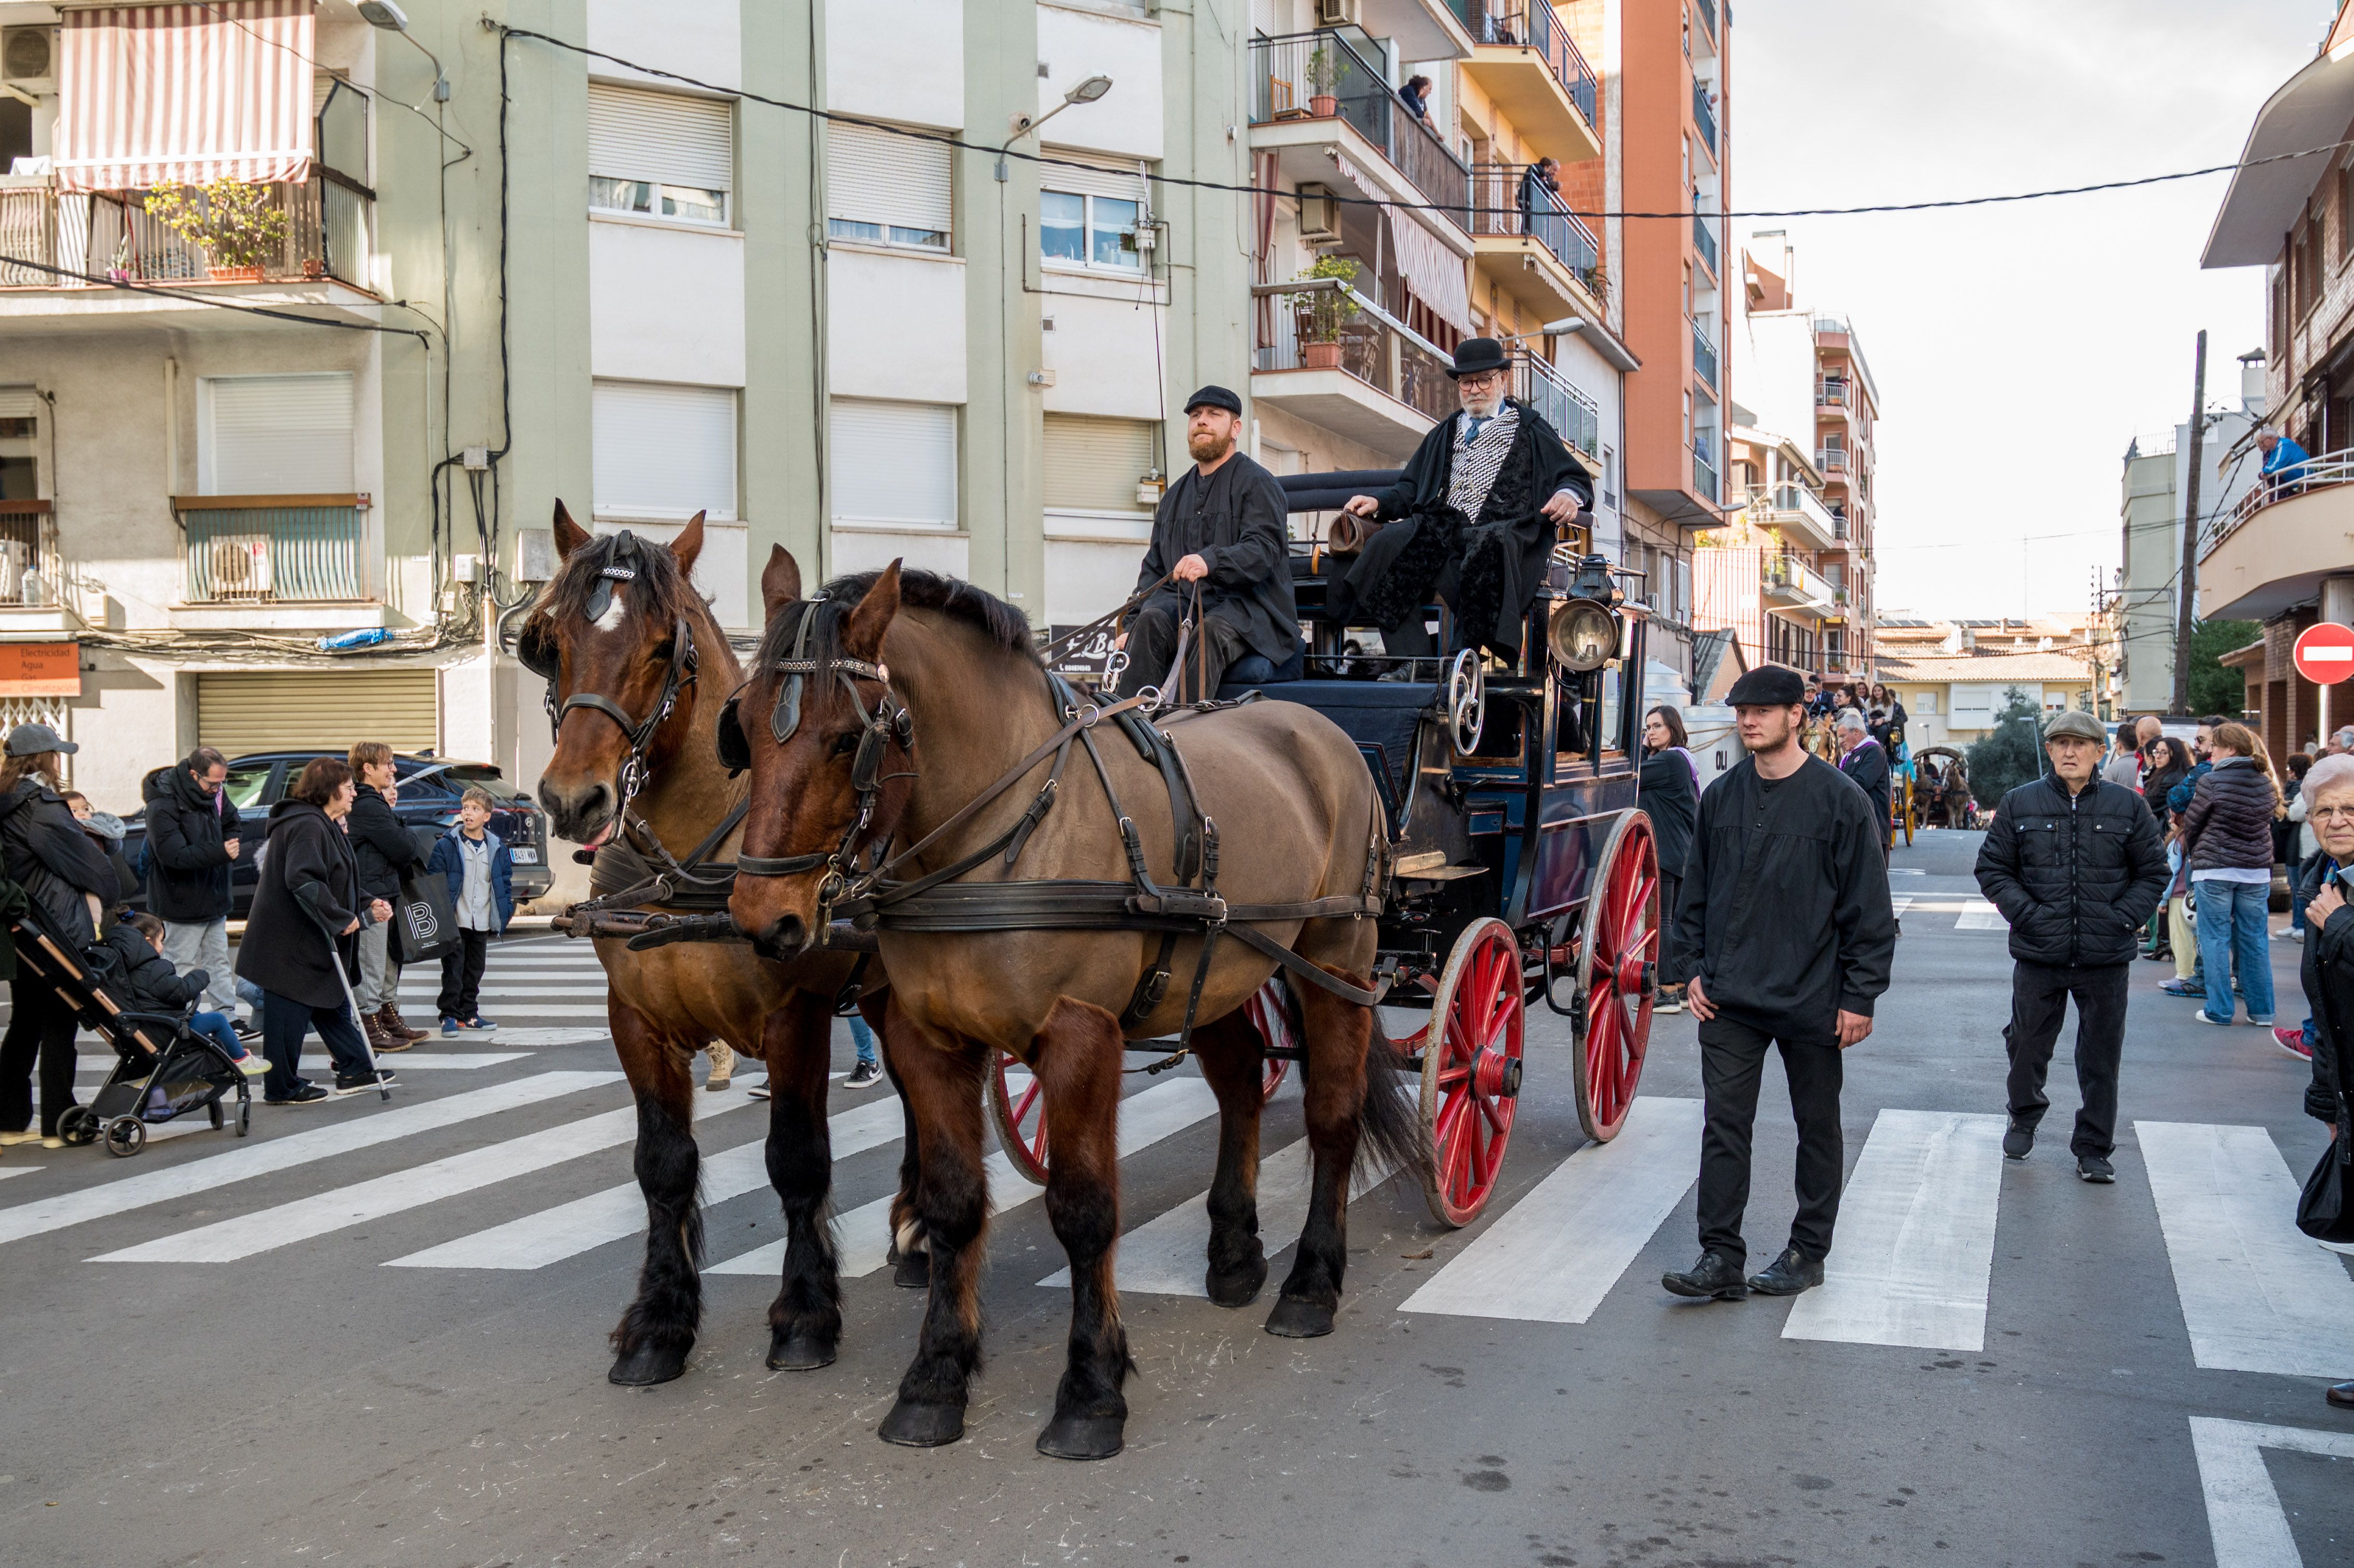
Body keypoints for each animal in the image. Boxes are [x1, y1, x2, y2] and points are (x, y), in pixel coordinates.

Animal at [525, 501, 908, 1384]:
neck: (694, 860)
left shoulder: (797, 1016)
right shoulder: (635, 1020)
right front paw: (659, 1323)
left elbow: (797, 1159)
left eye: (665, 646)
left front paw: (805, 1316)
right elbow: (663, 1166)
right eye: (553, 640)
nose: (573, 800)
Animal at [725, 558, 1412, 1450]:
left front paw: (1091, 1389)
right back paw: (1234, 1254)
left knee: (1333, 1116)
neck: (999, 834)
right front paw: (935, 1378)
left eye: (848, 738)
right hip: (1223, 970)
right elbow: (953, 1206)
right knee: (1240, 1087)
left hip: (1335, 962)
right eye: (740, 728)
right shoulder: (927, 1040)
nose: (762, 920)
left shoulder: (1081, 1036)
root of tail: (1318, 730)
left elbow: (1085, 1211)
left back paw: (1311, 1283)